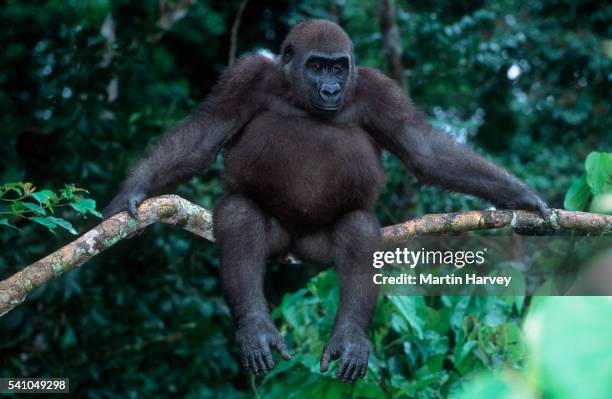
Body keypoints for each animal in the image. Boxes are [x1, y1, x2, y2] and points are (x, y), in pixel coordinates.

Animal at [103, 19, 548, 384]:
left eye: (338, 68)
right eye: (316, 66)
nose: (331, 88)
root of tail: (296, 245)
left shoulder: (378, 89)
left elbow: (423, 149)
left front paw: (518, 195)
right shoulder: (244, 77)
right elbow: (205, 133)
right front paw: (133, 190)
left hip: (318, 243)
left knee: (358, 230)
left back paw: (349, 336)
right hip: (279, 237)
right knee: (240, 217)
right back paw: (255, 327)